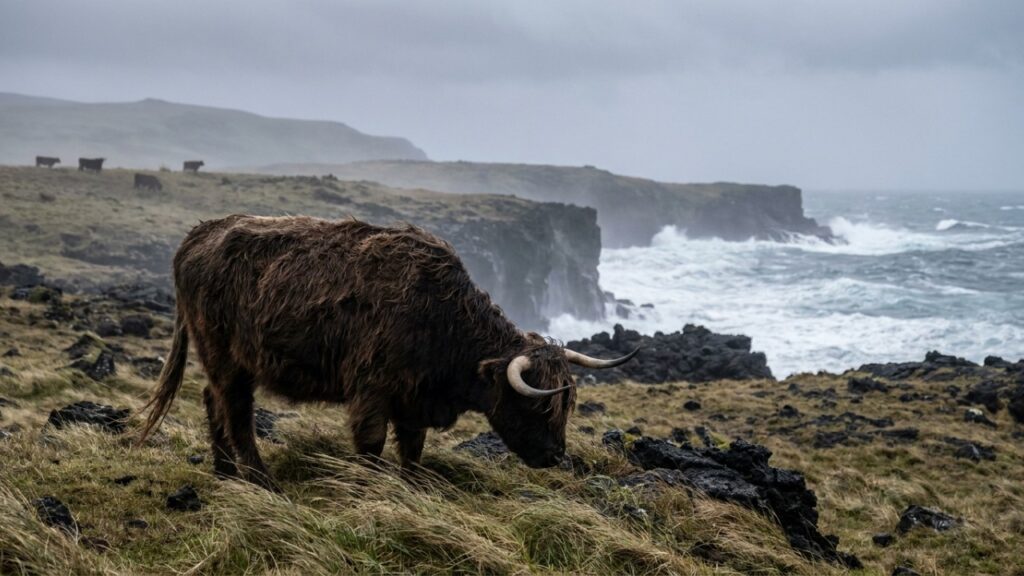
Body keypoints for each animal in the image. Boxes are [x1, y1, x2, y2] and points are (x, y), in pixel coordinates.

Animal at [137, 215, 635, 489]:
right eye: (535, 406)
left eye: (566, 407)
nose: (555, 457)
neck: (443, 322)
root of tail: (200, 233)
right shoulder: (372, 391)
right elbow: (372, 446)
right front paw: (369, 488)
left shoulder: (415, 401)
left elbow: (413, 449)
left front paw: (412, 488)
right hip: (227, 355)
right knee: (236, 412)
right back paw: (261, 481)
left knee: (213, 400)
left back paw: (225, 473)